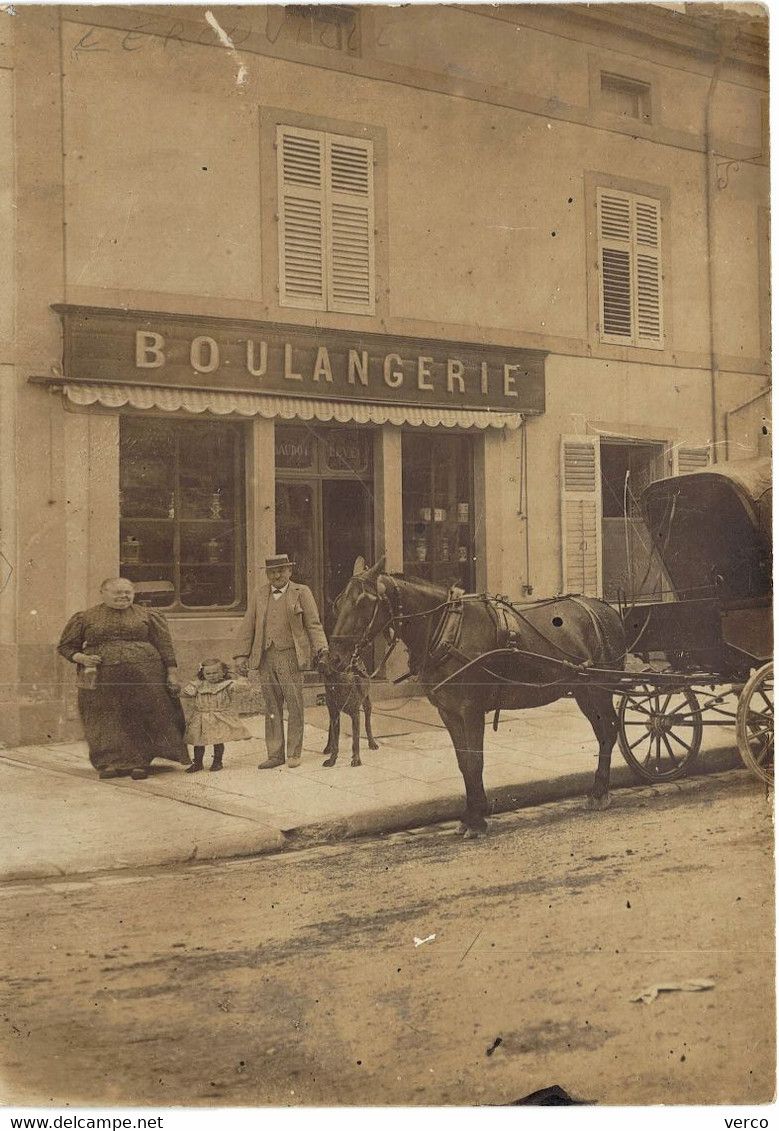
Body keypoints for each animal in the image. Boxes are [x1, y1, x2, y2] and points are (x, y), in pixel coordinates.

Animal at [327, 558, 624, 836]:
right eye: (338, 602)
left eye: (364, 602)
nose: (335, 658)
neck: (447, 629)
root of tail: (607, 609)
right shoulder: (448, 711)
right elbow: (463, 762)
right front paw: (470, 814)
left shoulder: (471, 710)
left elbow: (475, 761)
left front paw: (477, 819)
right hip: (584, 692)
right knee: (604, 732)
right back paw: (598, 790)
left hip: (599, 689)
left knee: (609, 731)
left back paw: (600, 793)